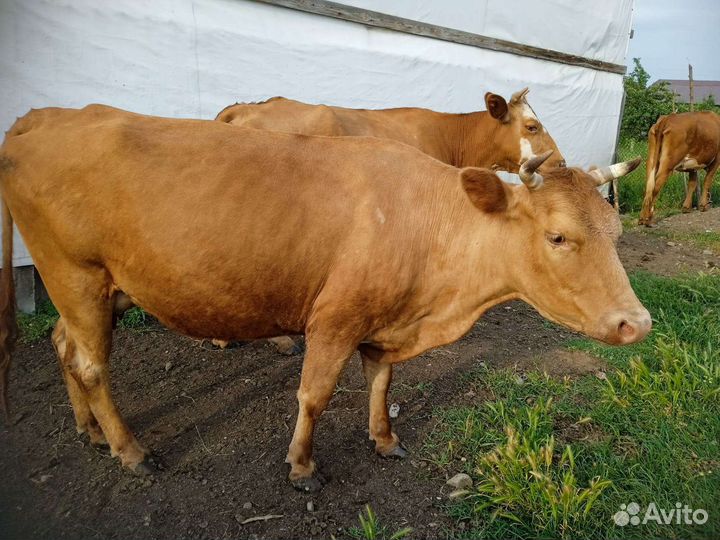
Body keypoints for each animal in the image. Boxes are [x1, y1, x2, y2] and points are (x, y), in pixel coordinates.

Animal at [0, 105, 649, 492]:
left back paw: (88, 429)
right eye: (557, 236)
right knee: (91, 364)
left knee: (64, 347)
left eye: (616, 232)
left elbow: (382, 383)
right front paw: (302, 465)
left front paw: (384, 440)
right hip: (76, 275)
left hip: (102, 287)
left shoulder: (386, 322)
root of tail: (44, 118)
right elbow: (314, 395)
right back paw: (129, 448)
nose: (636, 324)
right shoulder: (335, 318)